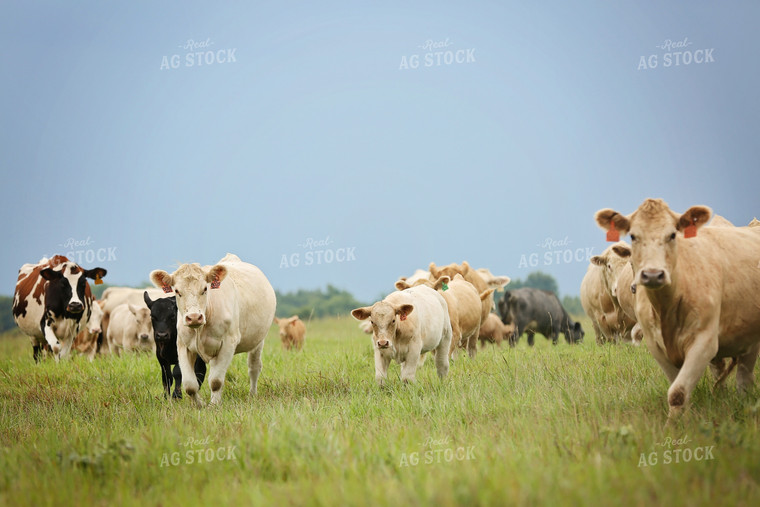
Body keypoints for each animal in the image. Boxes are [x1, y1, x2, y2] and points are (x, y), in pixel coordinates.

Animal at [150, 254, 278, 408]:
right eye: (177, 291)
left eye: (205, 288)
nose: (194, 317)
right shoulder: (182, 345)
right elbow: (190, 385)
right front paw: (199, 405)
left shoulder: (228, 343)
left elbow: (216, 381)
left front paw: (214, 405)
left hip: (258, 341)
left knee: (254, 367)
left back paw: (252, 394)